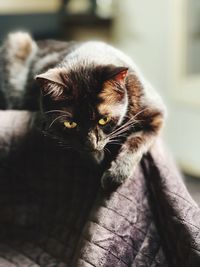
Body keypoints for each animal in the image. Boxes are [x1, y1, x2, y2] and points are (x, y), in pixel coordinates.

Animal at [0, 31, 166, 191]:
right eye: (70, 124)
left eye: (104, 120)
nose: (91, 145)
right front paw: (97, 158)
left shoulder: (156, 116)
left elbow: (136, 142)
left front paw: (115, 174)